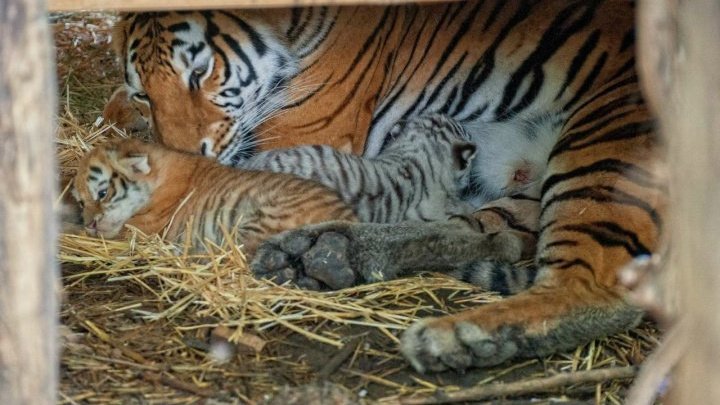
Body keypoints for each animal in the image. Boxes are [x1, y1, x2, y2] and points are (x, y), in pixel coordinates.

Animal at [109, 0, 668, 372]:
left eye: (201, 72)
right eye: (143, 93)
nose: (184, 152)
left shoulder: (306, 133)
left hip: (605, 143)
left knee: (597, 288)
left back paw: (454, 338)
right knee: (486, 237)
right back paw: (325, 253)